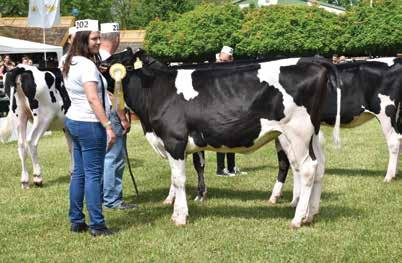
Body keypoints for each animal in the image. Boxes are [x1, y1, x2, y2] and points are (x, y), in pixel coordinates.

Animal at [104, 49, 340, 229]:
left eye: (113, 64)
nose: (99, 63)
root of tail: (314, 62)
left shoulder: (174, 140)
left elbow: (179, 179)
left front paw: (180, 216)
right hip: (311, 134)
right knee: (319, 166)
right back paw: (311, 214)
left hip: (298, 132)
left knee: (307, 168)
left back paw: (298, 218)